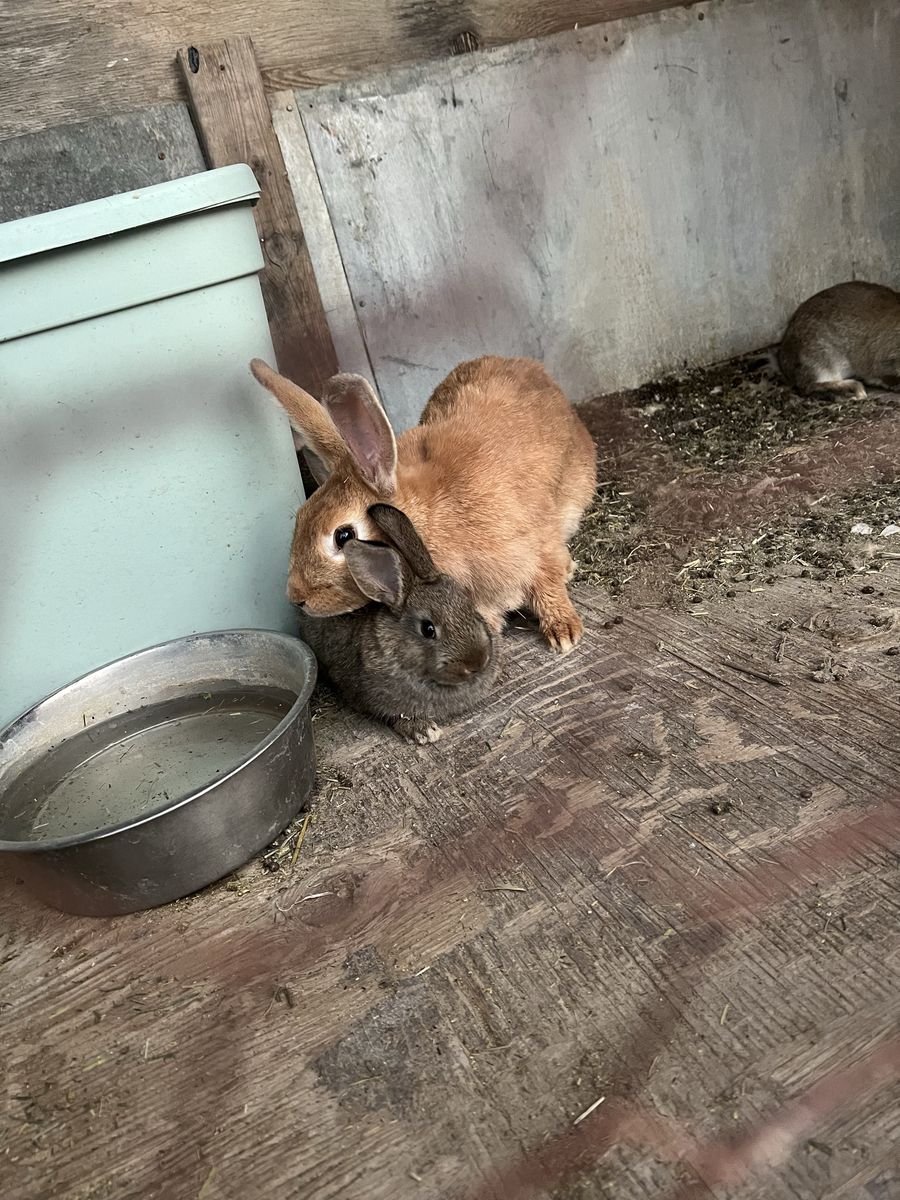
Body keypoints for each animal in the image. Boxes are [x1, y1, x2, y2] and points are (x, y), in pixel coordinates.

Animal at [250, 355, 597, 654]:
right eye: (299, 516)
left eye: (343, 536)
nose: (297, 597)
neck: (430, 522)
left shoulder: (535, 545)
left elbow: (547, 584)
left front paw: (564, 632)